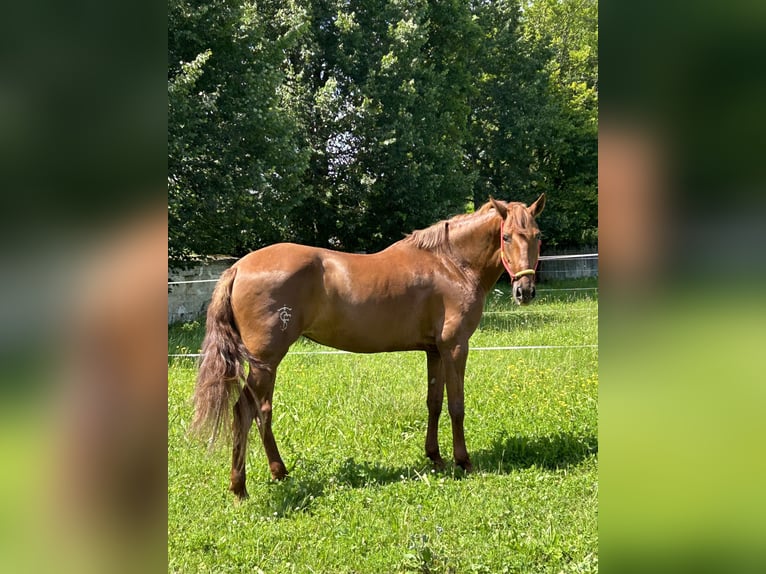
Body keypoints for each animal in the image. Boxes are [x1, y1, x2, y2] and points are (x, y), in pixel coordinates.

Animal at [192, 195, 544, 500]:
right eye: (507, 237)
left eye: (537, 236)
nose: (525, 291)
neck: (451, 263)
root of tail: (238, 268)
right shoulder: (455, 348)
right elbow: (456, 406)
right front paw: (464, 461)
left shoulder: (435, 351)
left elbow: (434, 402)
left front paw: (435, 457)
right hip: (265, 360)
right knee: (244, 411)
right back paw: (240, 488)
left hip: (266, 363)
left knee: (261, 410)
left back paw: (279, 472)